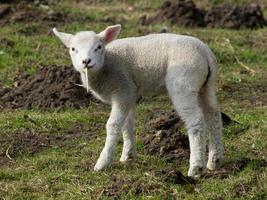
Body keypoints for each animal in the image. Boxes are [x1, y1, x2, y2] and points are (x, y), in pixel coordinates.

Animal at [52, 25, 224, 178]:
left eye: (99, 47)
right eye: (73, 49)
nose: (86, 61)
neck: (107, 63)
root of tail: (205, 52)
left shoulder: (123, 90)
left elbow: (113, 125)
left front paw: (103, 162)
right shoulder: (129, 94)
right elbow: (127, 124)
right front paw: (127, 156)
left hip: (183, 83)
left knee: (196, 122)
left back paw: (195, 168)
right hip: (206, 86)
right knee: (213, 116)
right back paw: (214, 161)